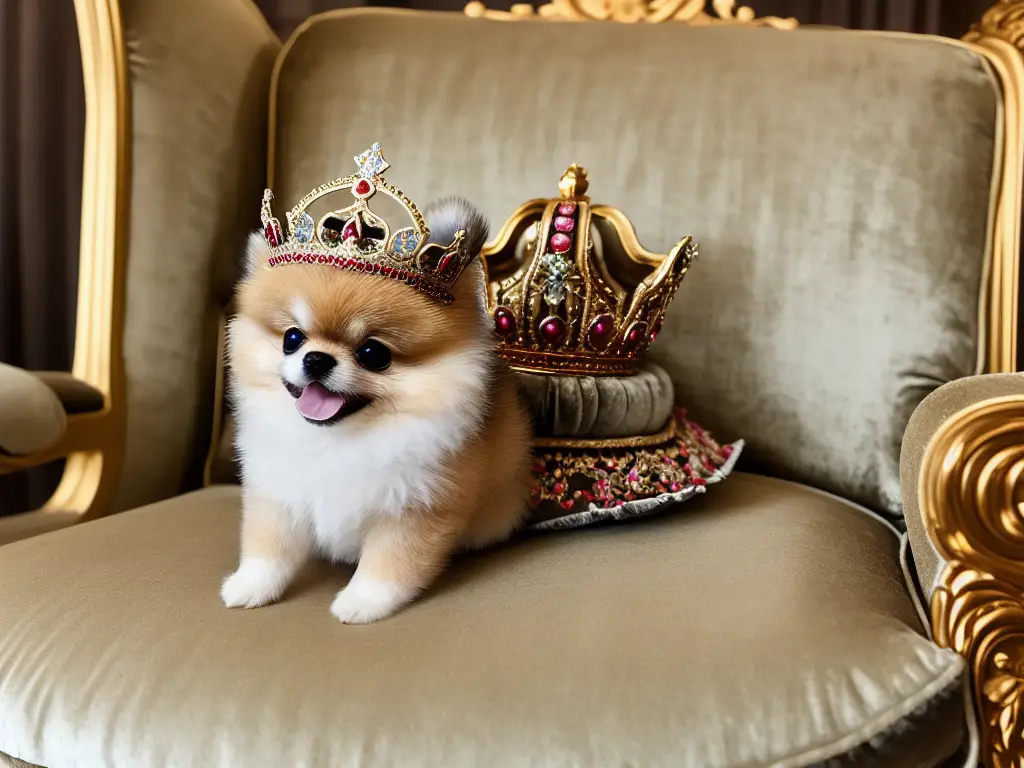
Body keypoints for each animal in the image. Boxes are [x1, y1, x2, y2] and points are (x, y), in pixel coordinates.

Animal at [221, 198, 532, 626]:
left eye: (373, 353)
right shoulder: (277, 493)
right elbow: (267, 548)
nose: (316, 359)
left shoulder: (417, 508)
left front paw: (361, 602)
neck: (336, 439)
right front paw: (250, 585)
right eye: (292, 338)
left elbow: (389, 566)